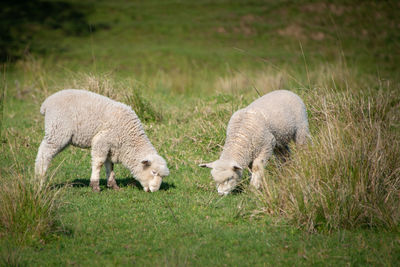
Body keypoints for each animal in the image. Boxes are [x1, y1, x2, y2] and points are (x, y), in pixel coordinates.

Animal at [34, 89, 169, 193]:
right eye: (153, 172)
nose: (155, 190)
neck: (129, 138)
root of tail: (46, 103)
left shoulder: (111, 146)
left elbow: (110, 165)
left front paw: (113, 185)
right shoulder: (102, 141)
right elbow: (98, 163)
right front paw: (95, 186)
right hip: (57, 131)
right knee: (44, 154)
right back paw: (40, 178)